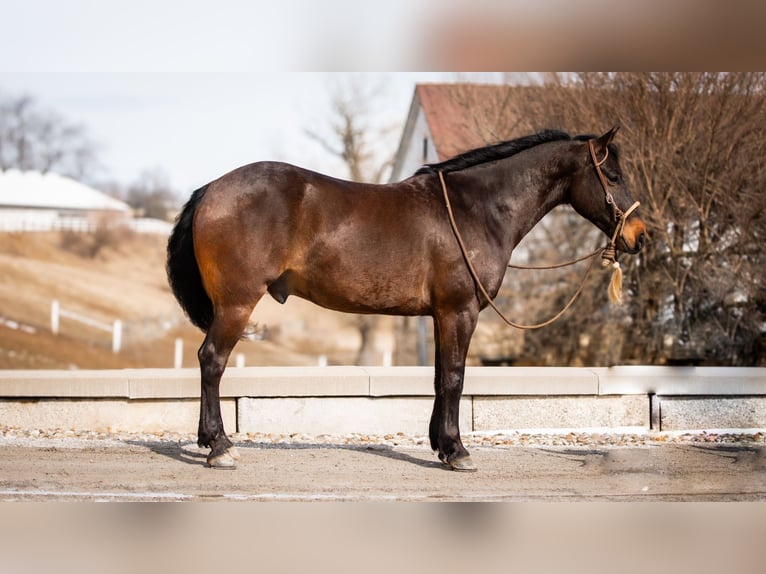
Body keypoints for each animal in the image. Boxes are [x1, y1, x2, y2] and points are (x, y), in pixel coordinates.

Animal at [166, 127, 648, 472]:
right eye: (614, 175)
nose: (639, 236)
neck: (477, 210)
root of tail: (212, 189)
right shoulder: (459, 311)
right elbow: (454, 377)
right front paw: (457, 451)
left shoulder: (440, 315)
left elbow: (438, 378)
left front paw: (441, 444)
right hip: (237, 304)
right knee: (212, 360)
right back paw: (220, 447)